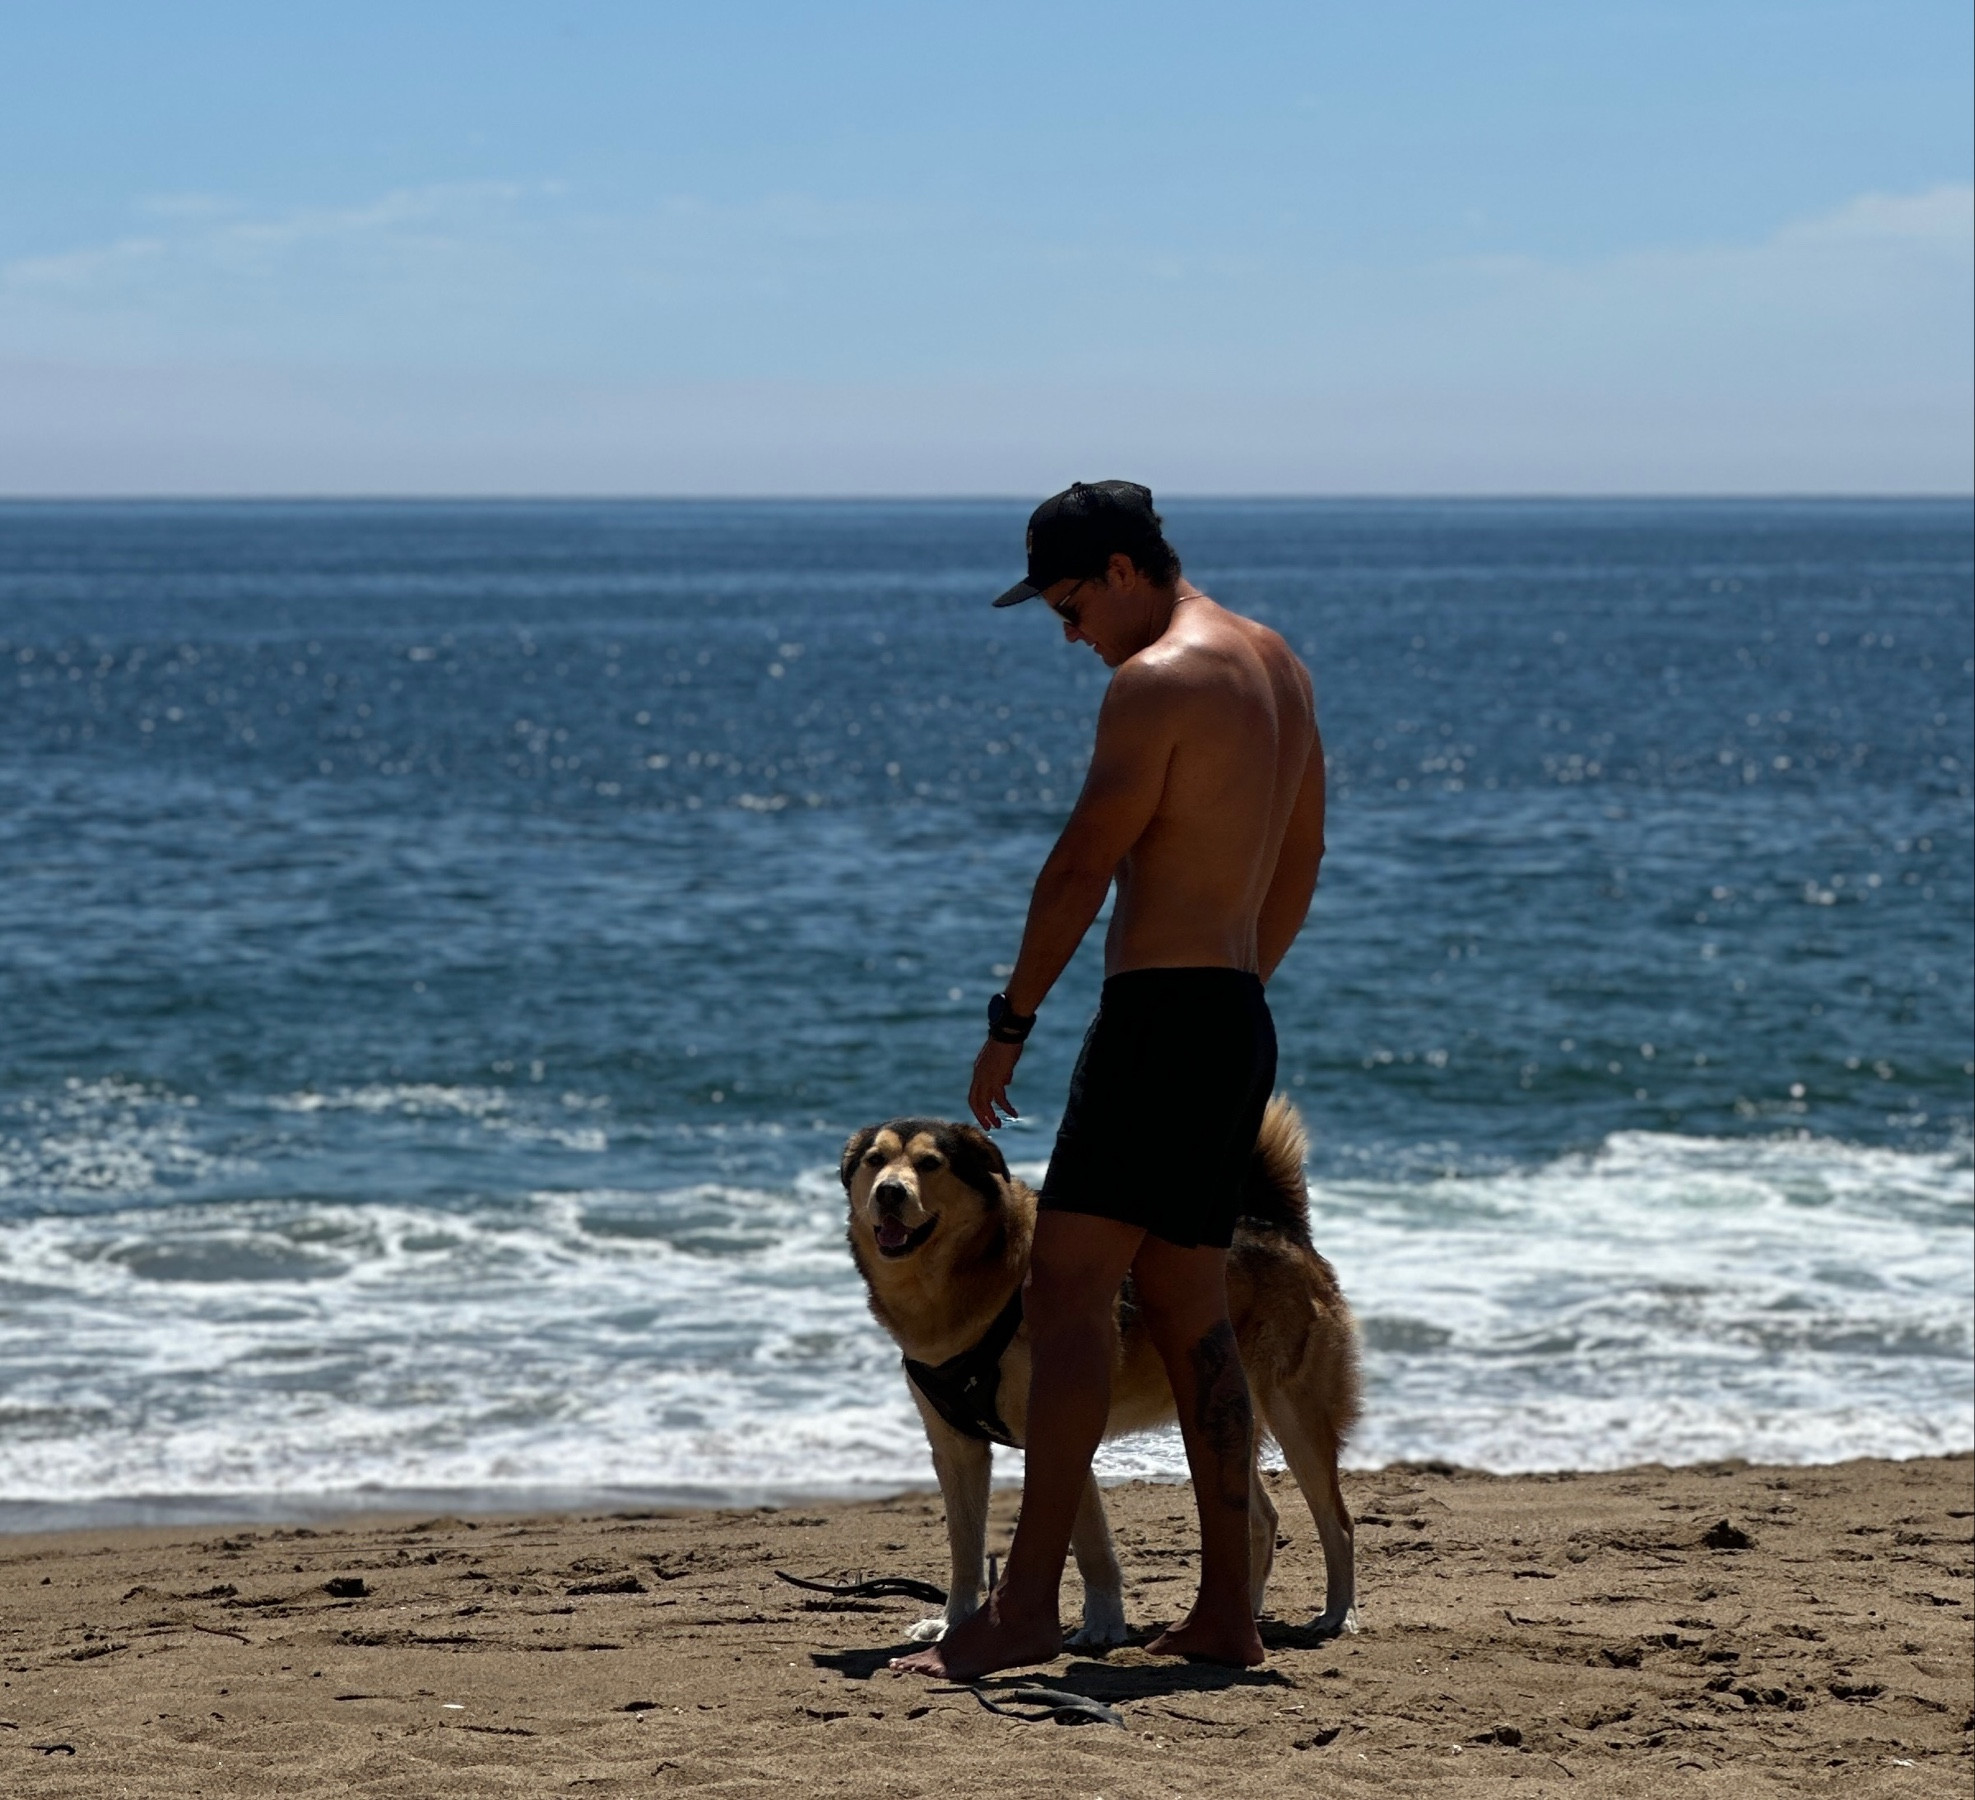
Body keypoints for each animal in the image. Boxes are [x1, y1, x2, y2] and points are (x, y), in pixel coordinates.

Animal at [841, 1094, 1358, 1647]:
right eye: (875, 1160)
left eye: (930, 1163)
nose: (889, 1191)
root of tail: (1276, 1226)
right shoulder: (956, 1450)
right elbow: (964, 1549)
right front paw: (953, 1623)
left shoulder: (1059, 1428)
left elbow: (1090, 1544)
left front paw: (1103, 1626)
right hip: (1224, 1412)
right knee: (1261, 1517)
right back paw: (1240, 1615)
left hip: (1294, 1413)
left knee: (1337, 1521)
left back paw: (1336, 1613)